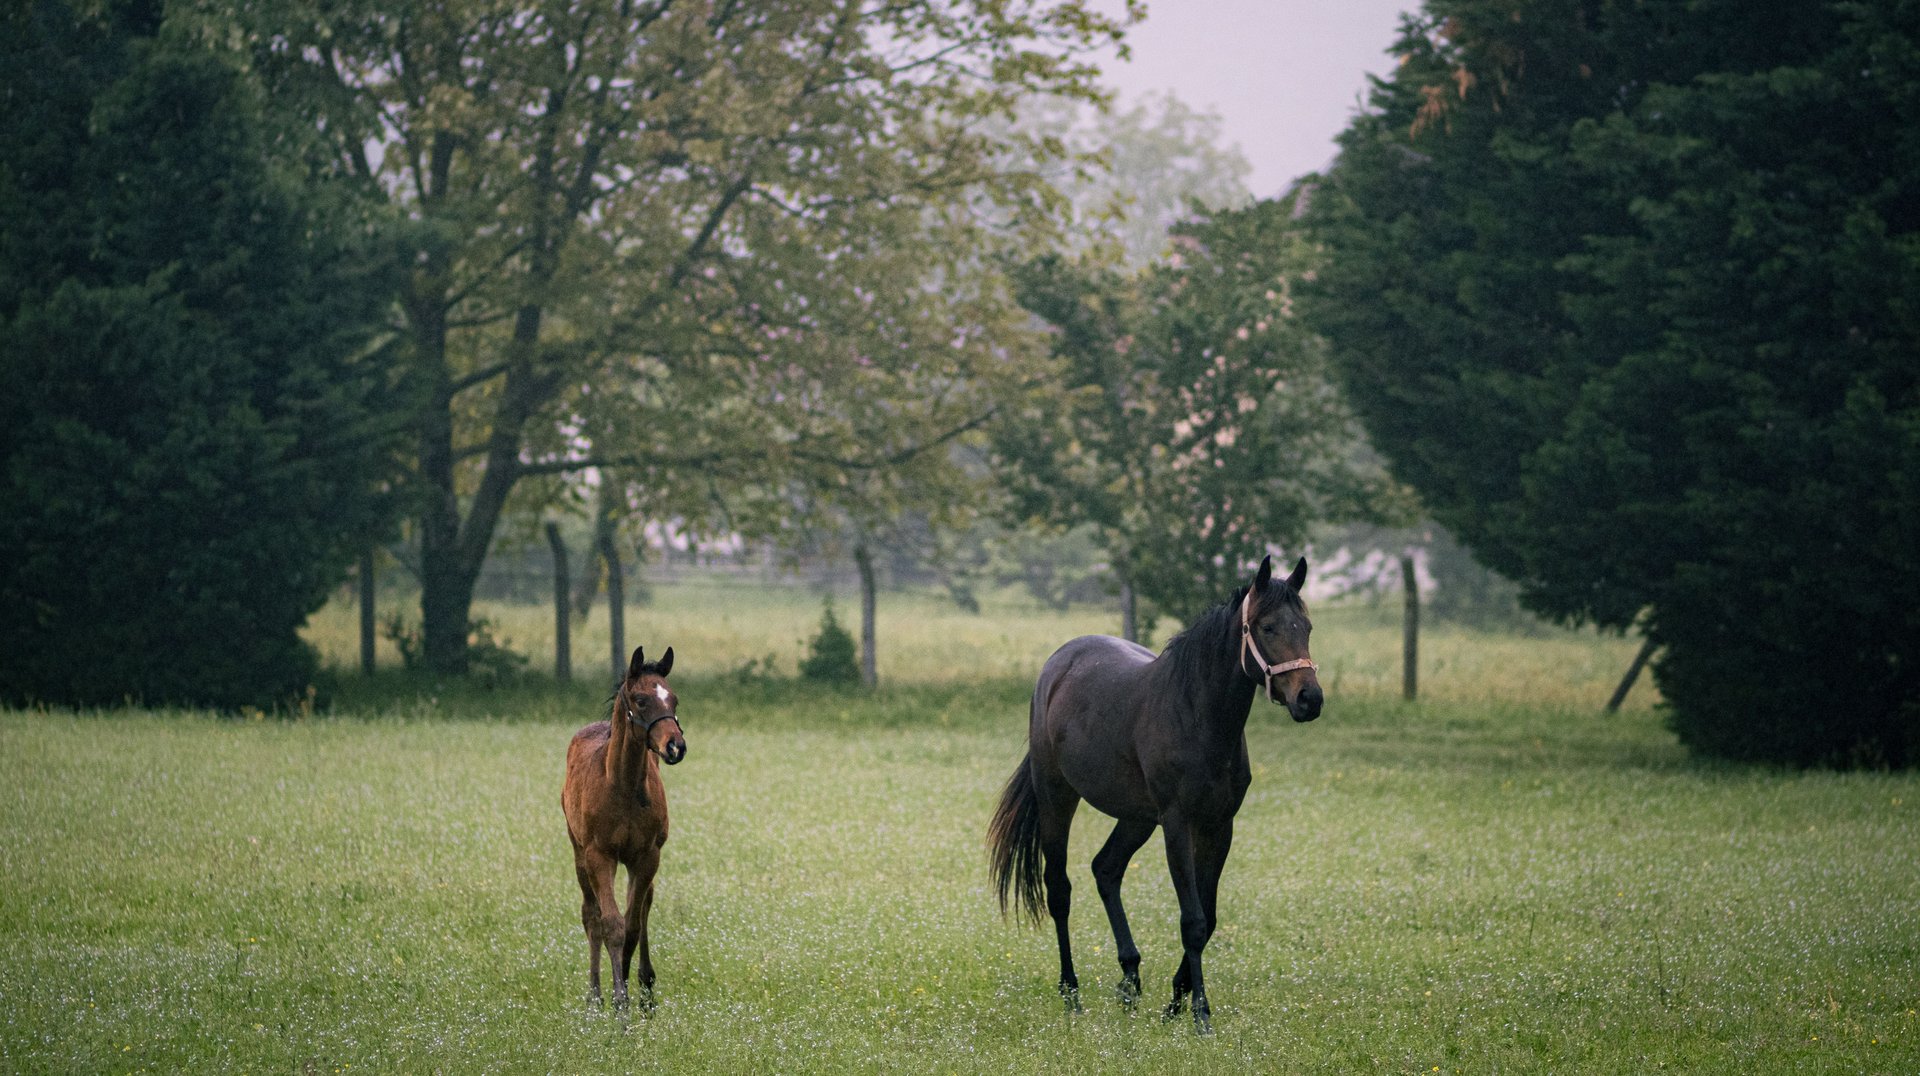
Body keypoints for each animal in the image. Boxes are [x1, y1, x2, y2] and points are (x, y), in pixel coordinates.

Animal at [561, 645, 688, 1010]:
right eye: (641, 700)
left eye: (674, 700)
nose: (675, 746)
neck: (623, 786)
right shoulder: (599, 855)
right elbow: (611, 924)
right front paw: (619, 1001)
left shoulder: (646, 856)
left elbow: (632, 924)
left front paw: (634, 987)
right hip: (579, 852)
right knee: (591, 915)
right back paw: (594, 998)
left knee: (642, 909)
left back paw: (643, 985)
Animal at [987, 555, 1322, 1034]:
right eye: (1268, 627)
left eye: (1306, 626)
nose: (1310, 699)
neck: (1197, 716)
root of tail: (1058, 664)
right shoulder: (1178, 825)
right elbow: (1194, 919)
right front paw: (1199, 1012)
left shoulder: (1219, 827)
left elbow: (1209, 917)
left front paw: (1175, 1001)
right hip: (1058, 798)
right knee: (1059, 890)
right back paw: (1071, 992)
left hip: (1137, 817)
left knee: (1106, 869)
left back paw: (1129, 980)